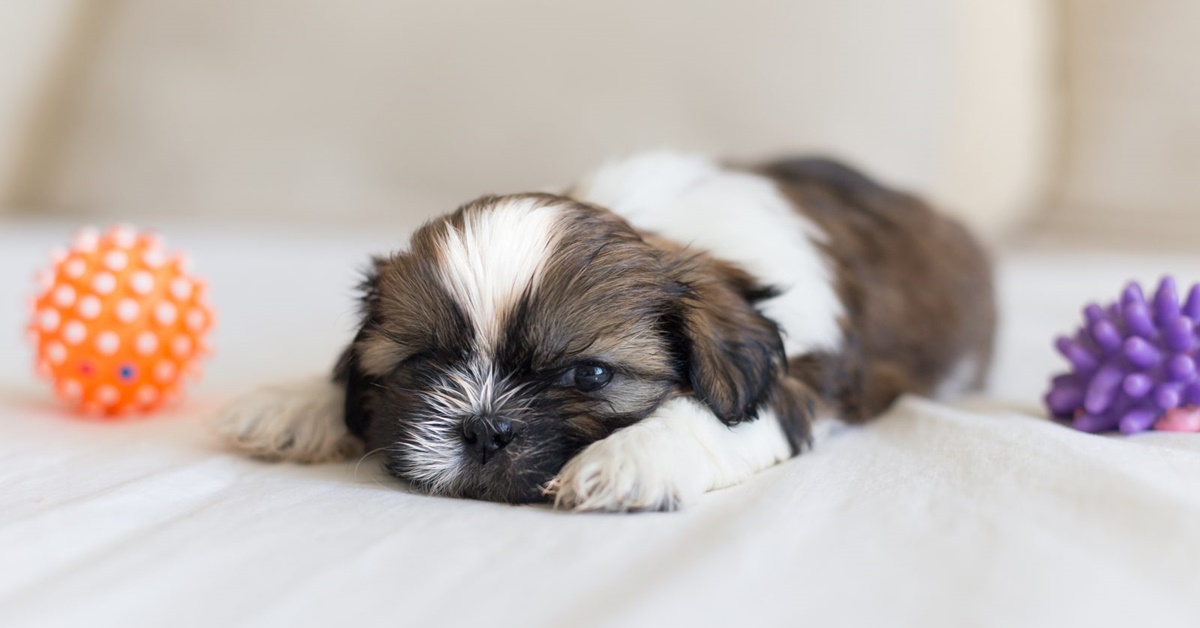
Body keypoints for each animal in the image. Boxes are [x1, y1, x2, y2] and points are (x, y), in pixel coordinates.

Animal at [213, 152, 993, 511]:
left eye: (589, 374)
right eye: (424, 363)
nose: (484, 429)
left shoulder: (794, 376)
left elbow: (717, 416)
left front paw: (630, 457)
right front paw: (294, 402)